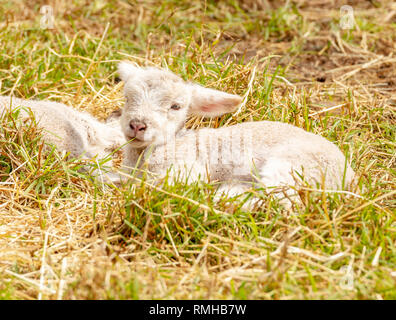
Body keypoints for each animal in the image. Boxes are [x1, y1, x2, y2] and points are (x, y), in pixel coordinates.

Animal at [114, 62, 356, 205]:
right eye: (126, 98)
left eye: (176, 106)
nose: (137, 125)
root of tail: (348, 179)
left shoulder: (186, 169)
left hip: (289, 168)